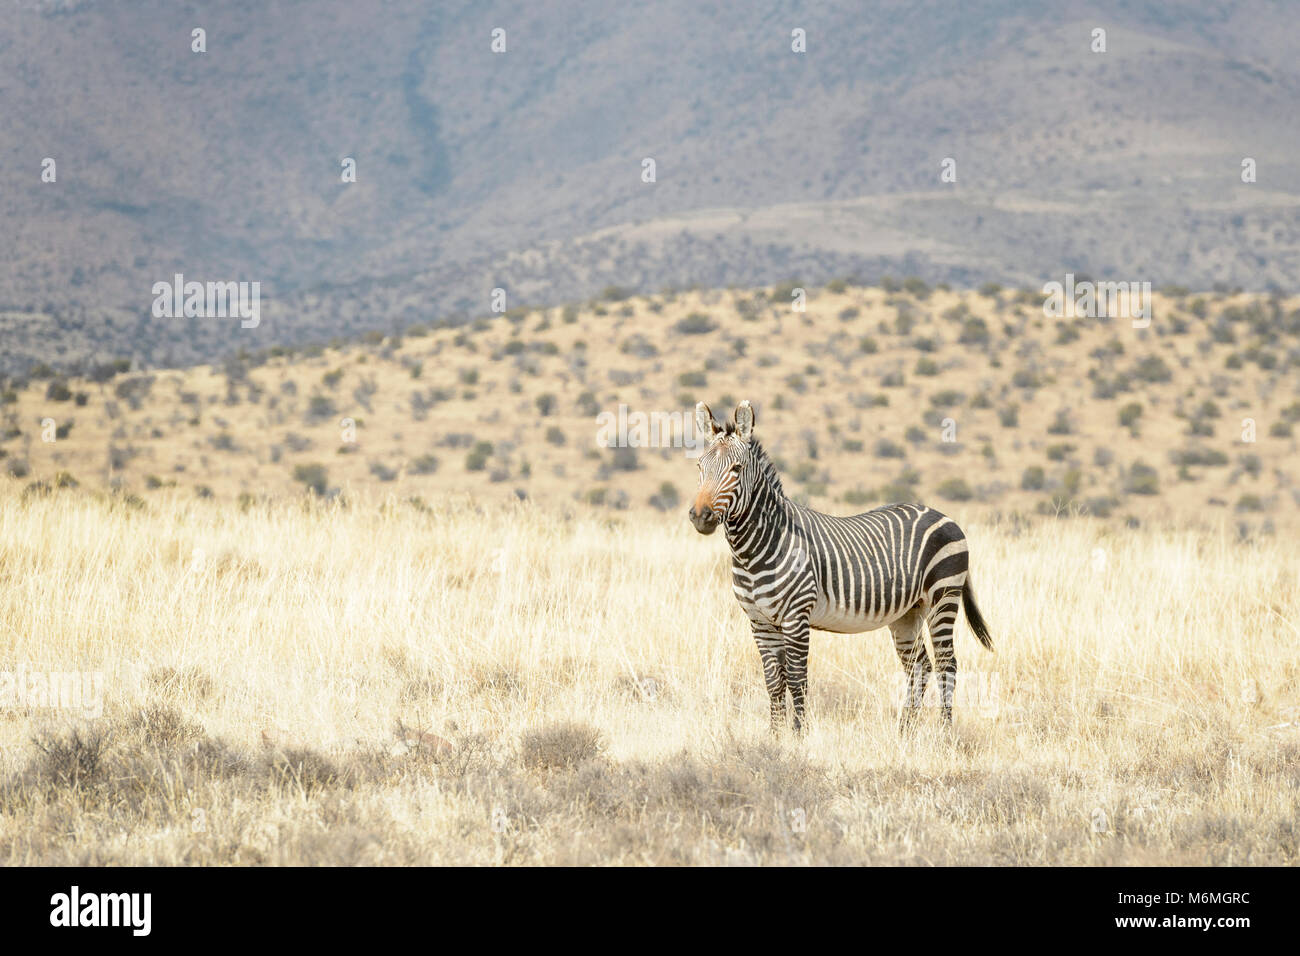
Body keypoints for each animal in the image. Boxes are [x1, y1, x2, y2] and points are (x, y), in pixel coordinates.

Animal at [686, 400, 987, 738]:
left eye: (736, 470)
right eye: (699, 467)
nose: (700, 516)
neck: (753, 551)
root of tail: (944, 515)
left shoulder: (796, 618)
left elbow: (797, 680)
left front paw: (798, 736)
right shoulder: (759, 622)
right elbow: (774, 683)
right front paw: (774, 737)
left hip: (943, 597)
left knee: (947, 664)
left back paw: (943, 735)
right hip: (908, 612)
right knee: (919, 665)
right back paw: (904, 734)